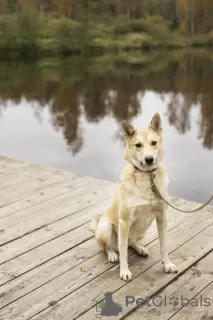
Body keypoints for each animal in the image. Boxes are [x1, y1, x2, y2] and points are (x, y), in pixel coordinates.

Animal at [90, 112, 178, 280]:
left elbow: (164, 245)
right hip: (106, 227)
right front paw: (124, 271)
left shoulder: (161, 217)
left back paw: (140, 248)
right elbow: (123, 250)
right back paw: (112, 254)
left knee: (131, 242)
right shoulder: (124, 222)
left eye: (154, 143)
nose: (149, 159)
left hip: (142, 230)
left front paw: (167, 264)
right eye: (138, 145)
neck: (147, 178)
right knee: (109, 247)